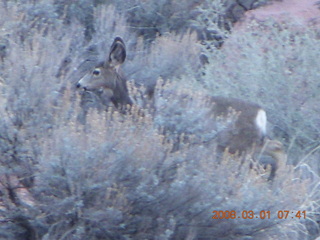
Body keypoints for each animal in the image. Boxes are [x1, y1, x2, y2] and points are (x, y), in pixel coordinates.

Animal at [76, 37, 286, 180]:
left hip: (239, 146)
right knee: (278, 147)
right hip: (250, 143)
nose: (79, 84)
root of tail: (261, 114)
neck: (137, 103)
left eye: (96, 71)